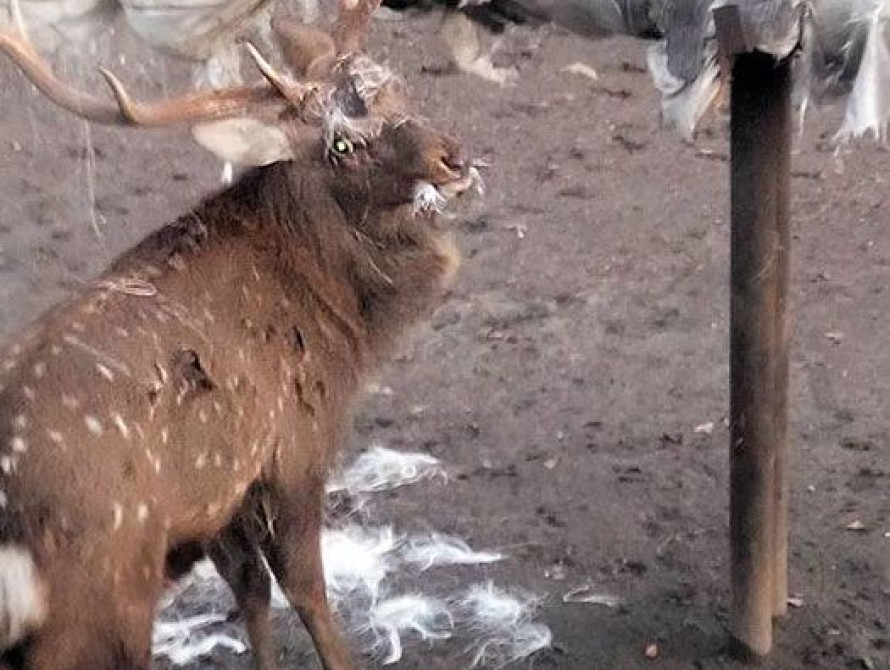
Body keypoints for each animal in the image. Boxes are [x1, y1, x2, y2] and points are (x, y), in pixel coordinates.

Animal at [0, 1, 479, 668]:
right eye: (342, 144)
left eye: (396, 84)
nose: (453, 159)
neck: (347, 320)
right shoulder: (296, 446)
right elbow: (306, 589)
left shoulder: (220, 490)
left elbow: (249, 586)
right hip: (102, 584)